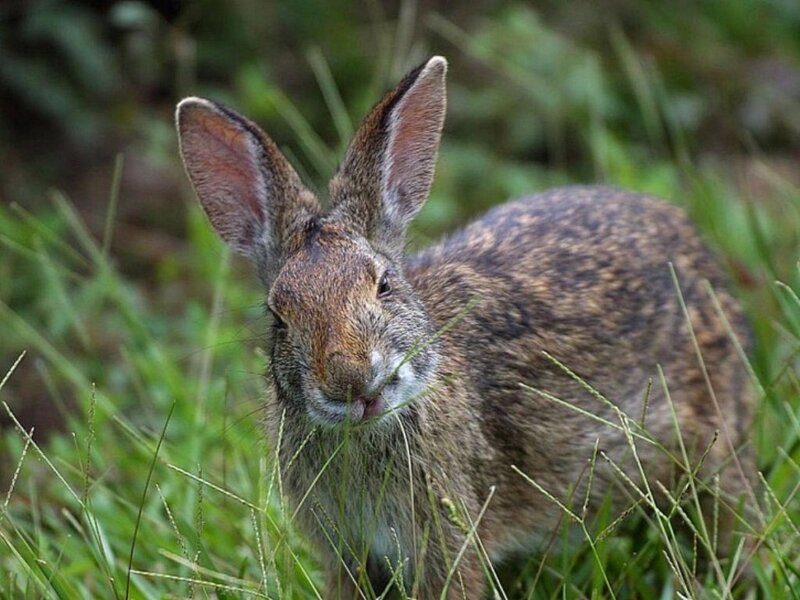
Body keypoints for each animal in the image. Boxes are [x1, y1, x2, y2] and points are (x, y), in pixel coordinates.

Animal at [175, 56, 757, 598]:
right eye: (278, 316)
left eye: (384, 285)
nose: (351, 383)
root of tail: (692, 242)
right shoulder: (347, 552)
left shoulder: (449, 538)